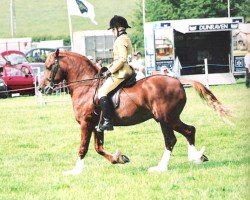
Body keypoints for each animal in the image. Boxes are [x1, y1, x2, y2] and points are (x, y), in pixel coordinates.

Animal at [38, 49, 229, 175]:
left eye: (48, 67)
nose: (41, 88)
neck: (86, 86)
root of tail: (177, 80)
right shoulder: (96, 125)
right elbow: (98, 148)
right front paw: (119, 158)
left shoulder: (86, 123)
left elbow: (83, 148)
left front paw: (75, 171)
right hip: (171, 118)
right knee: (189, 130)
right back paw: (196, 157)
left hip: (164, 119)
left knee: (171, 139)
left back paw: (161, 167)